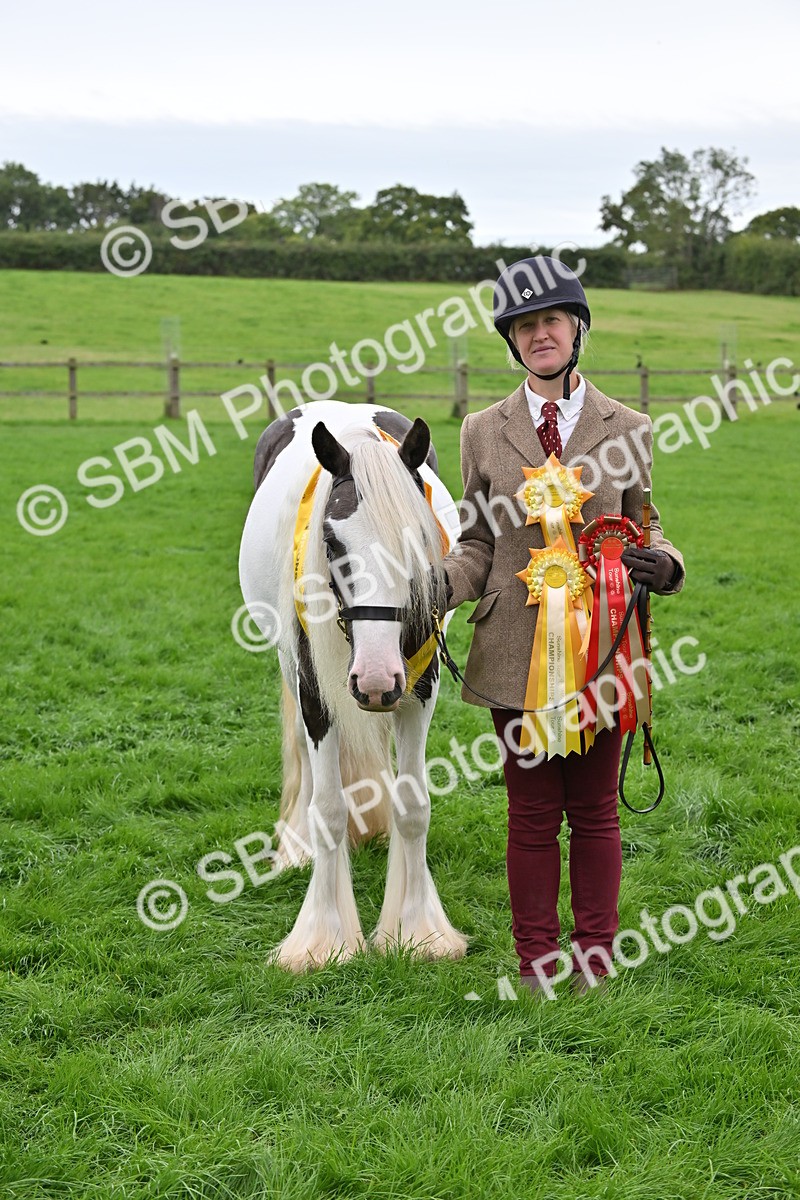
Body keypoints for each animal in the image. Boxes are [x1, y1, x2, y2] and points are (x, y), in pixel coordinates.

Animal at [238, 400, 468, 972]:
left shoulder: (419, 689)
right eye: (331, 542)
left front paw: (419, 929)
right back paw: (295, 849)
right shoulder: (316, 692)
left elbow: (414, 805)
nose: (376, 678)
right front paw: (323, 938)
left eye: (419, 539)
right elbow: (328, 809)